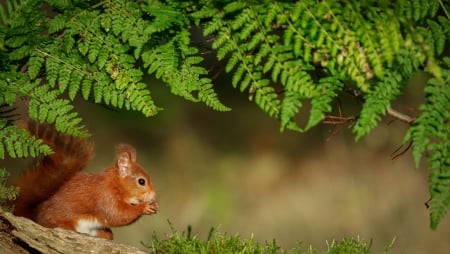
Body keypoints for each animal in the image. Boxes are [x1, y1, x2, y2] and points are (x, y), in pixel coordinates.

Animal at [12, 121, 158, 240]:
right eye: (141, 181)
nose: (154, 195)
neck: (115, 184)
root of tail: (35, 216)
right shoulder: (104, 196)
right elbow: (117, 214)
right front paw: (145, 207)